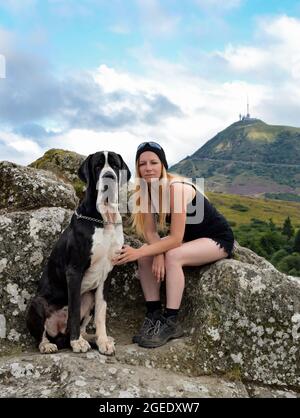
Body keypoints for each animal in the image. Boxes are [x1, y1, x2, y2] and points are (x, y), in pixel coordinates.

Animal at [25, 152, 129, 354]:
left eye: (115, 165)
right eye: (98, 166)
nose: (109, 177)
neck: (104, 219)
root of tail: (59, 332)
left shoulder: (106, 275)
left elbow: (101, 313)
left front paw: (103, 341)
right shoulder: (74, 271)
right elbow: (73, 310)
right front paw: (77, 343)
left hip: (88, 297)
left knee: (84, 322)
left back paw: (92, 338)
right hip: (37, 303)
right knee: (41, 335)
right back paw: (50, 344)